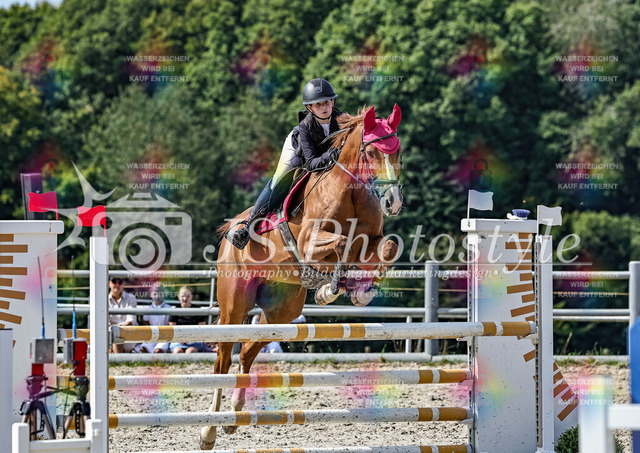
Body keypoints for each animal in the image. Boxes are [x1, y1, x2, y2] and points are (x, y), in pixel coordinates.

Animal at [199, 104, 404, 450]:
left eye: (398, 150)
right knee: (224, 359)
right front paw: (330, 290)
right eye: (372, 152)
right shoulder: (310, 244)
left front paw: (358, 291)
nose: (393, 203)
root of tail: (230, 231)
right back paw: (209, 431)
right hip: (233, 304)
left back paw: (235, 415)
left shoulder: (372, 241)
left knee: (247, 352)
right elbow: (343, 244)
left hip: (282, 311)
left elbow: (387, 248)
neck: (350, 194)